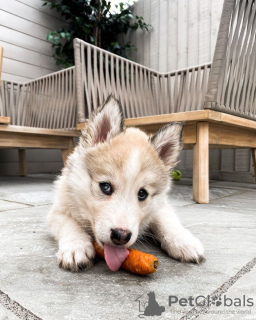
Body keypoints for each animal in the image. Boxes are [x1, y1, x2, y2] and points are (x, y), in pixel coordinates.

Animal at [47, 96, 204, 272]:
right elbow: (69, 224)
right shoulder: (57, 210)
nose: (121, 236)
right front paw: (76, 247)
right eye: (105, 187)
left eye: (142, 194)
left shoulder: (161, 205)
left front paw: (183, 241)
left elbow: (166, 220)